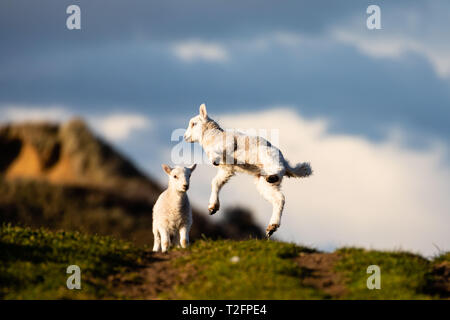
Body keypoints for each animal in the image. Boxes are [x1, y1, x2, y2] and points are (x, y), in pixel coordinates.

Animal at [184, 104, 312, 239]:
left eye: (193, 124)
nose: (185, 137)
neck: (212, 137)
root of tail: (285, 163)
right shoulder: (226, 169)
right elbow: (216, 182)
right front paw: (212, 208)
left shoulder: (229, 143)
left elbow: (219, 153)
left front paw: (214, 159)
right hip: (263, 182)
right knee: (279, 198)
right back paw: (271, 227)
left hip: (267, 155)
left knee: (278, 171)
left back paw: (273, 177)